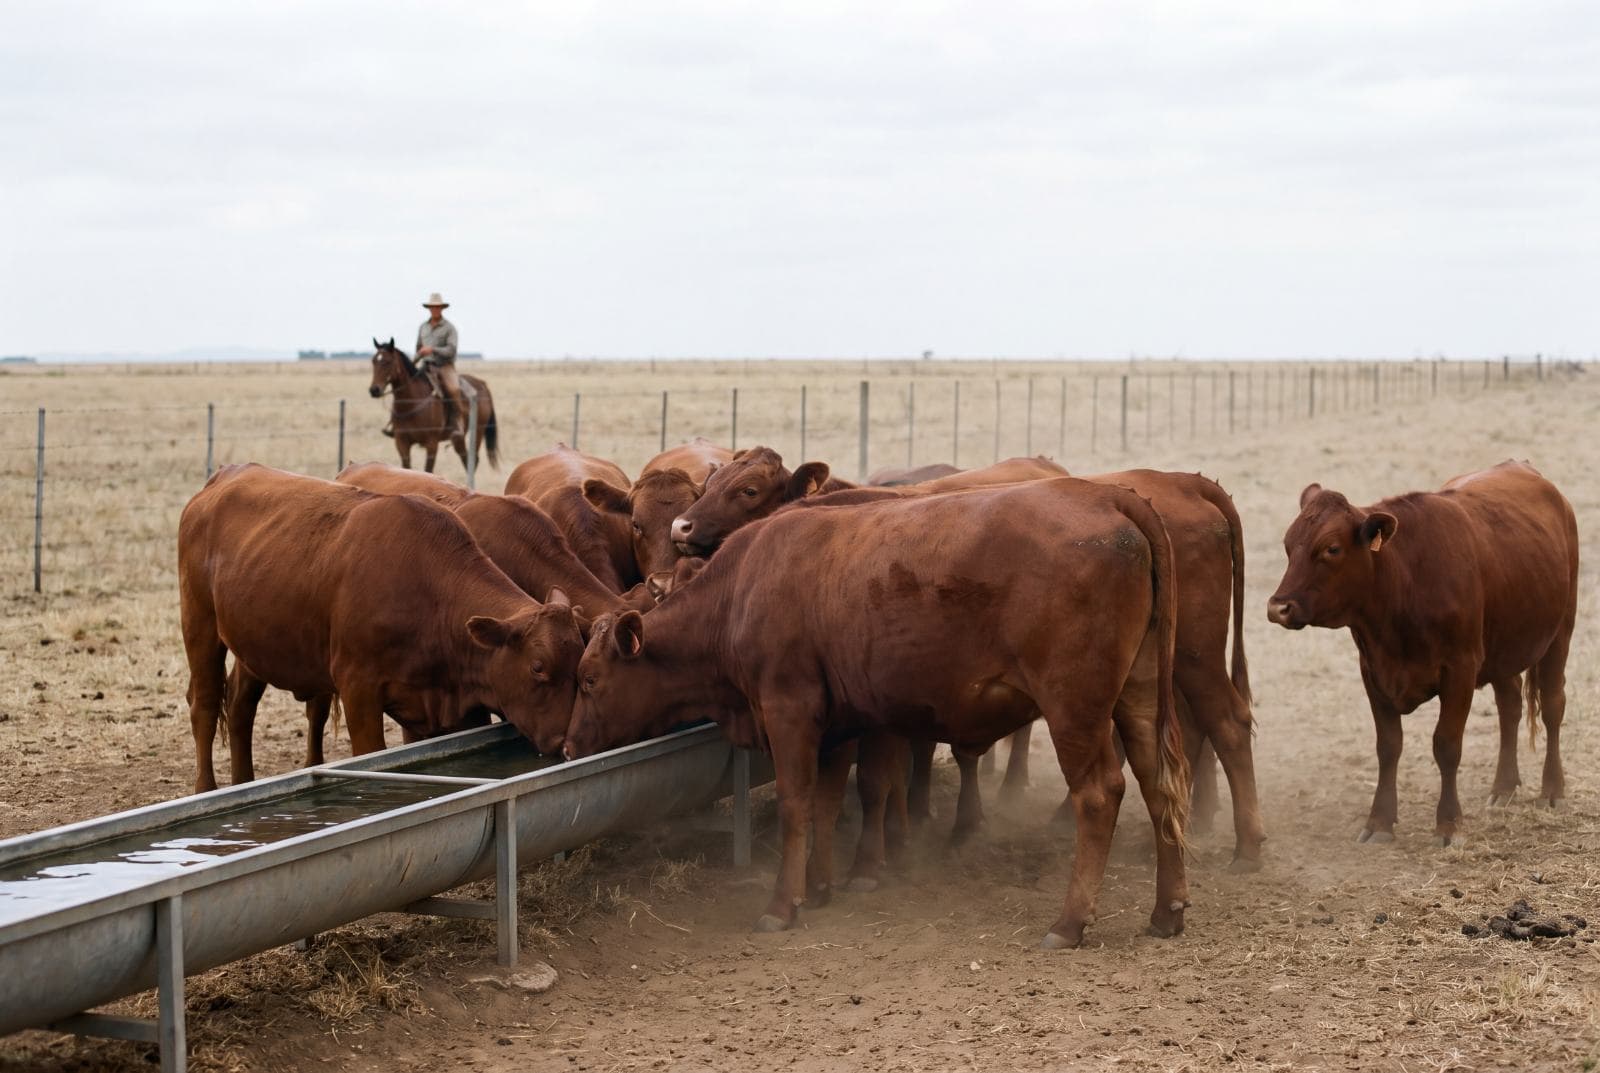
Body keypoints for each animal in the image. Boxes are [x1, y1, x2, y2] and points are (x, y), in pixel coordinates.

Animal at [181, 464, 586, 793]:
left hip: (256, 643)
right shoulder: (359, 692)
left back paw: (241, 781)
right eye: (537, 667)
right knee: (205, 704)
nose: (567, 743)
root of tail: (222, 478)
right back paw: (205, 788)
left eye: (580, 669)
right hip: (199, 625)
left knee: (239, 703)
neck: (428, 590)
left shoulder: (457, 707)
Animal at [565, 476, 1190, 949]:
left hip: (1073, 709)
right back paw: (1167, 910)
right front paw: (819, 888)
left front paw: (782, 904)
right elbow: (825, 803)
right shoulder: (838, 722)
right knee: (1159, 786)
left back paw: (1069, 922)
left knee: (1100, 794)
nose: (569, 746)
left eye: (590, 680)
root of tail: (1107, 496)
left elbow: (796, 805)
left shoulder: (789, 710)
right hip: (1138, 697)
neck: (743, 590)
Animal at [1267, 461, 1578, 846]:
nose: (1278, 607)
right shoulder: (1373, 671)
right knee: (1510, 706)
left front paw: (1449, 823)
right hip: (1501, 652)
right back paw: (1504, 787)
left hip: (1559, 634)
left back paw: (1553, 789)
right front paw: (1380, 822)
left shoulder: (1460, 669)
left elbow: (1446, 745)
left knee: (1552, 706)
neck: (1405, 580)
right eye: (1288, 545)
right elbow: (1388, 746)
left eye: (1332, 549)